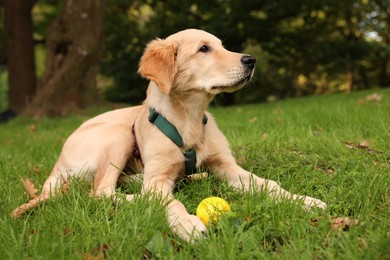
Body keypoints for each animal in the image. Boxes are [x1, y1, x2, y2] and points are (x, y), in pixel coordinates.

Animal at [11, 29, 326, 243]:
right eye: (203, 49)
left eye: (222, 46)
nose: (251, 60)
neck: (190, 118)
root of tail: (58, 162)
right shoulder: (158, 177)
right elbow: (168, 201)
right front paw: (186, 223)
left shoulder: (226, 166)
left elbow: (267, 184)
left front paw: (302, 201)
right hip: (119, 135)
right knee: (101, 191)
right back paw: (140, 196)